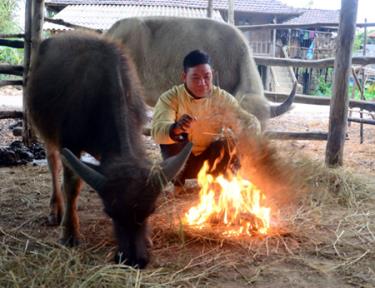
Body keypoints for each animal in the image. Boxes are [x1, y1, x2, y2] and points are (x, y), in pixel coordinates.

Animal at [26, 31, 192, 268]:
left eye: (151, 210)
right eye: (109, 212)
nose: (134, 260)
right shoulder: (69, 143)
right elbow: (72, 186)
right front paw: (69, 233)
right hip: (45, 132)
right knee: (53, 163)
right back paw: (56, 209)